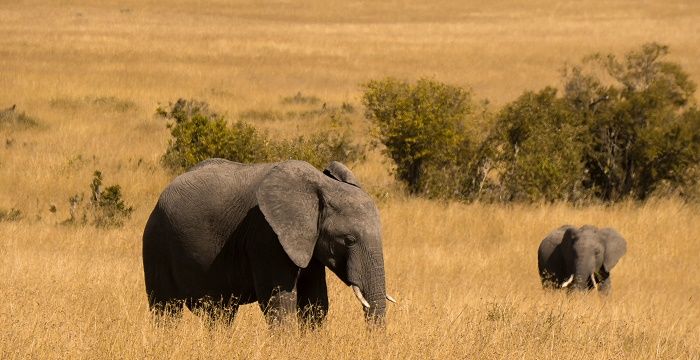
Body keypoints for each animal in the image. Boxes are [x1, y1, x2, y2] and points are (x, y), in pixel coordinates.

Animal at [142, 159, 394, 328]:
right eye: (348, 240)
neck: (321, 187)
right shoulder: (266, 237)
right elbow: (279, 302)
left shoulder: (308, 241)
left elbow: (315, 301)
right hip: (156, 243)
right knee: (166, 308)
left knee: (221, 313)